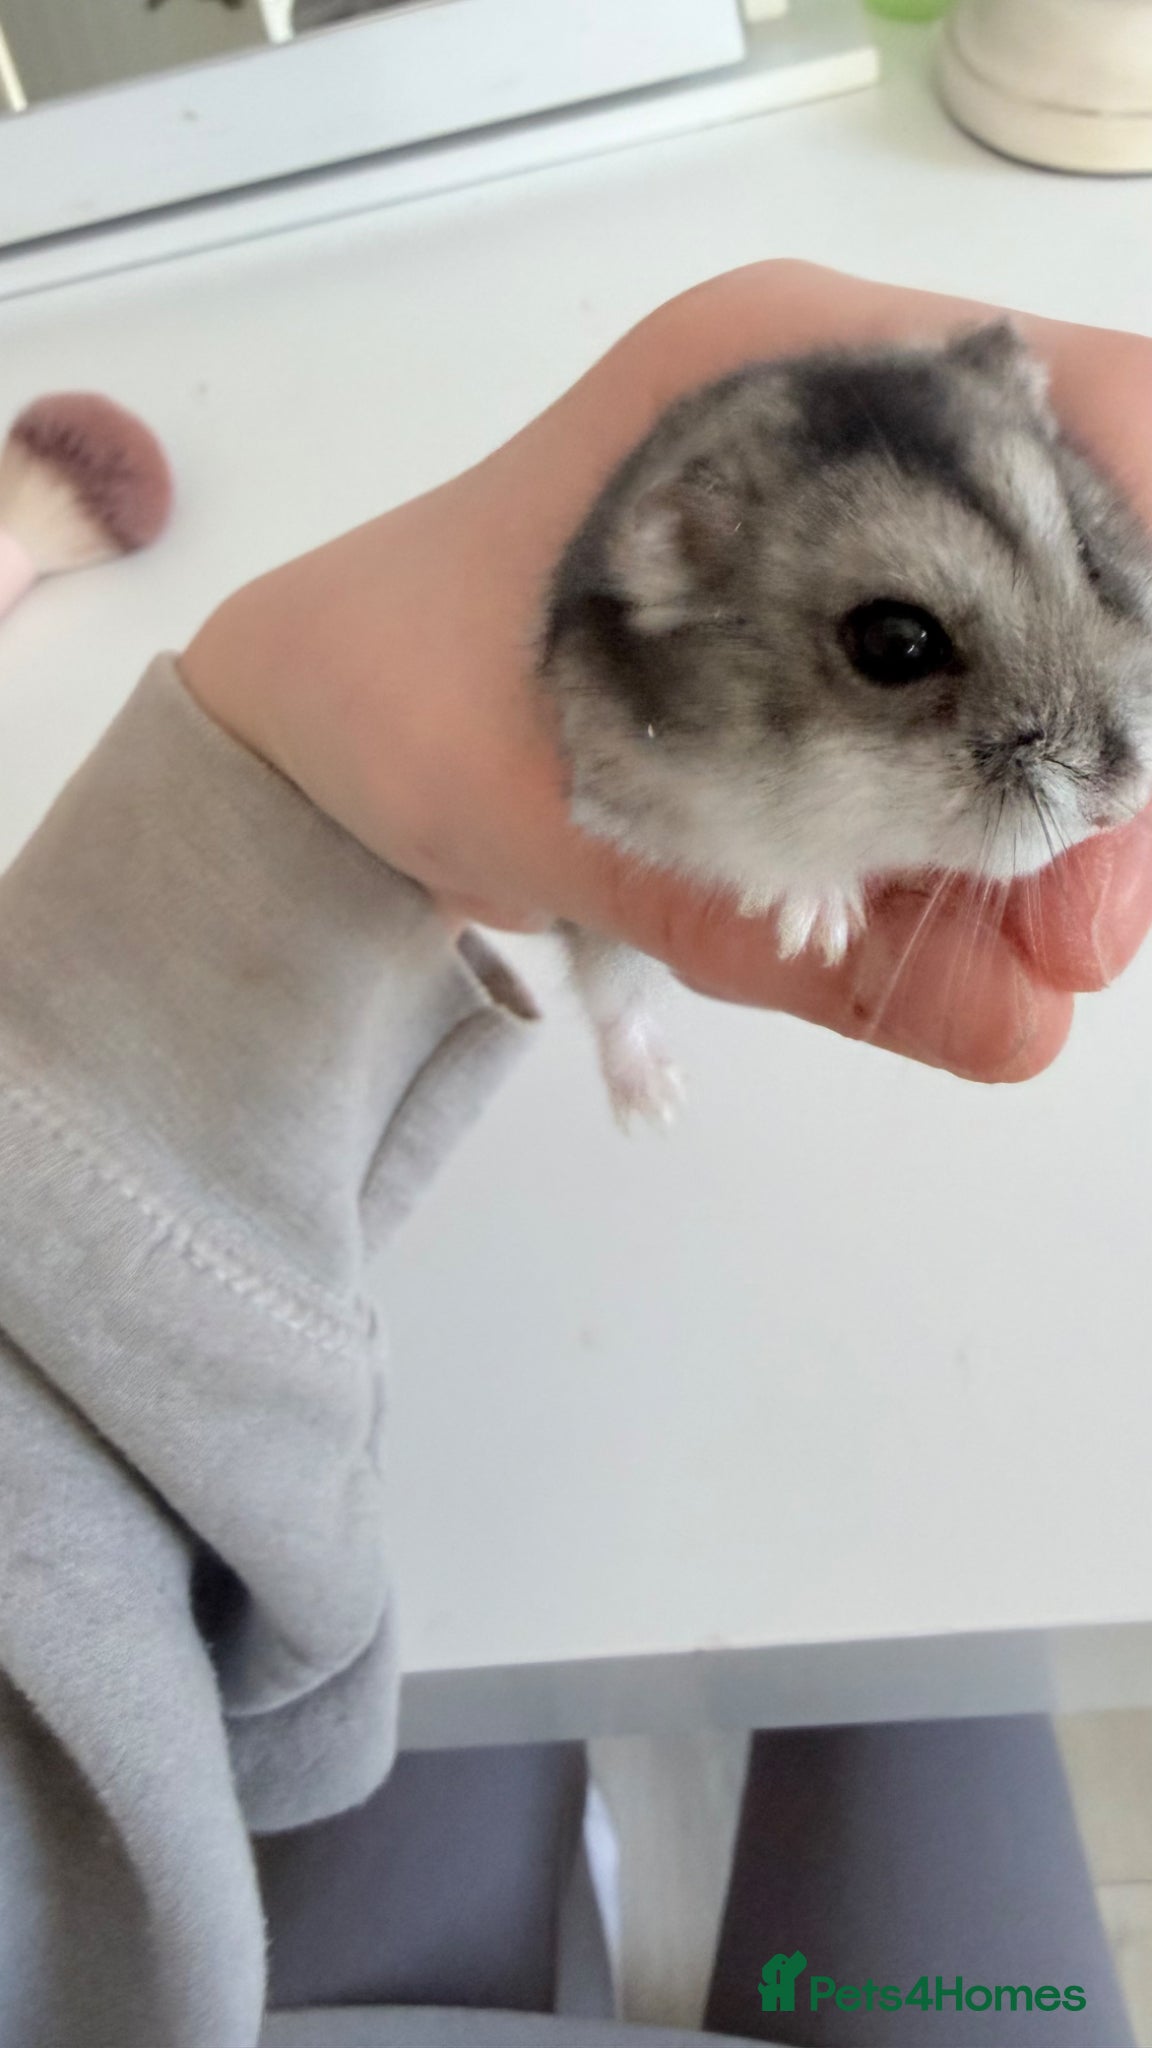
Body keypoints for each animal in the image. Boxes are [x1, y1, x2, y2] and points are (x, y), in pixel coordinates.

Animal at [539, 321, 1152, 1124]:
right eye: (895, 642)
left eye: (1089, 549)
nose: (1125, 804)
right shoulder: (615, 792)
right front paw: (820, 927)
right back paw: (655, 1108)